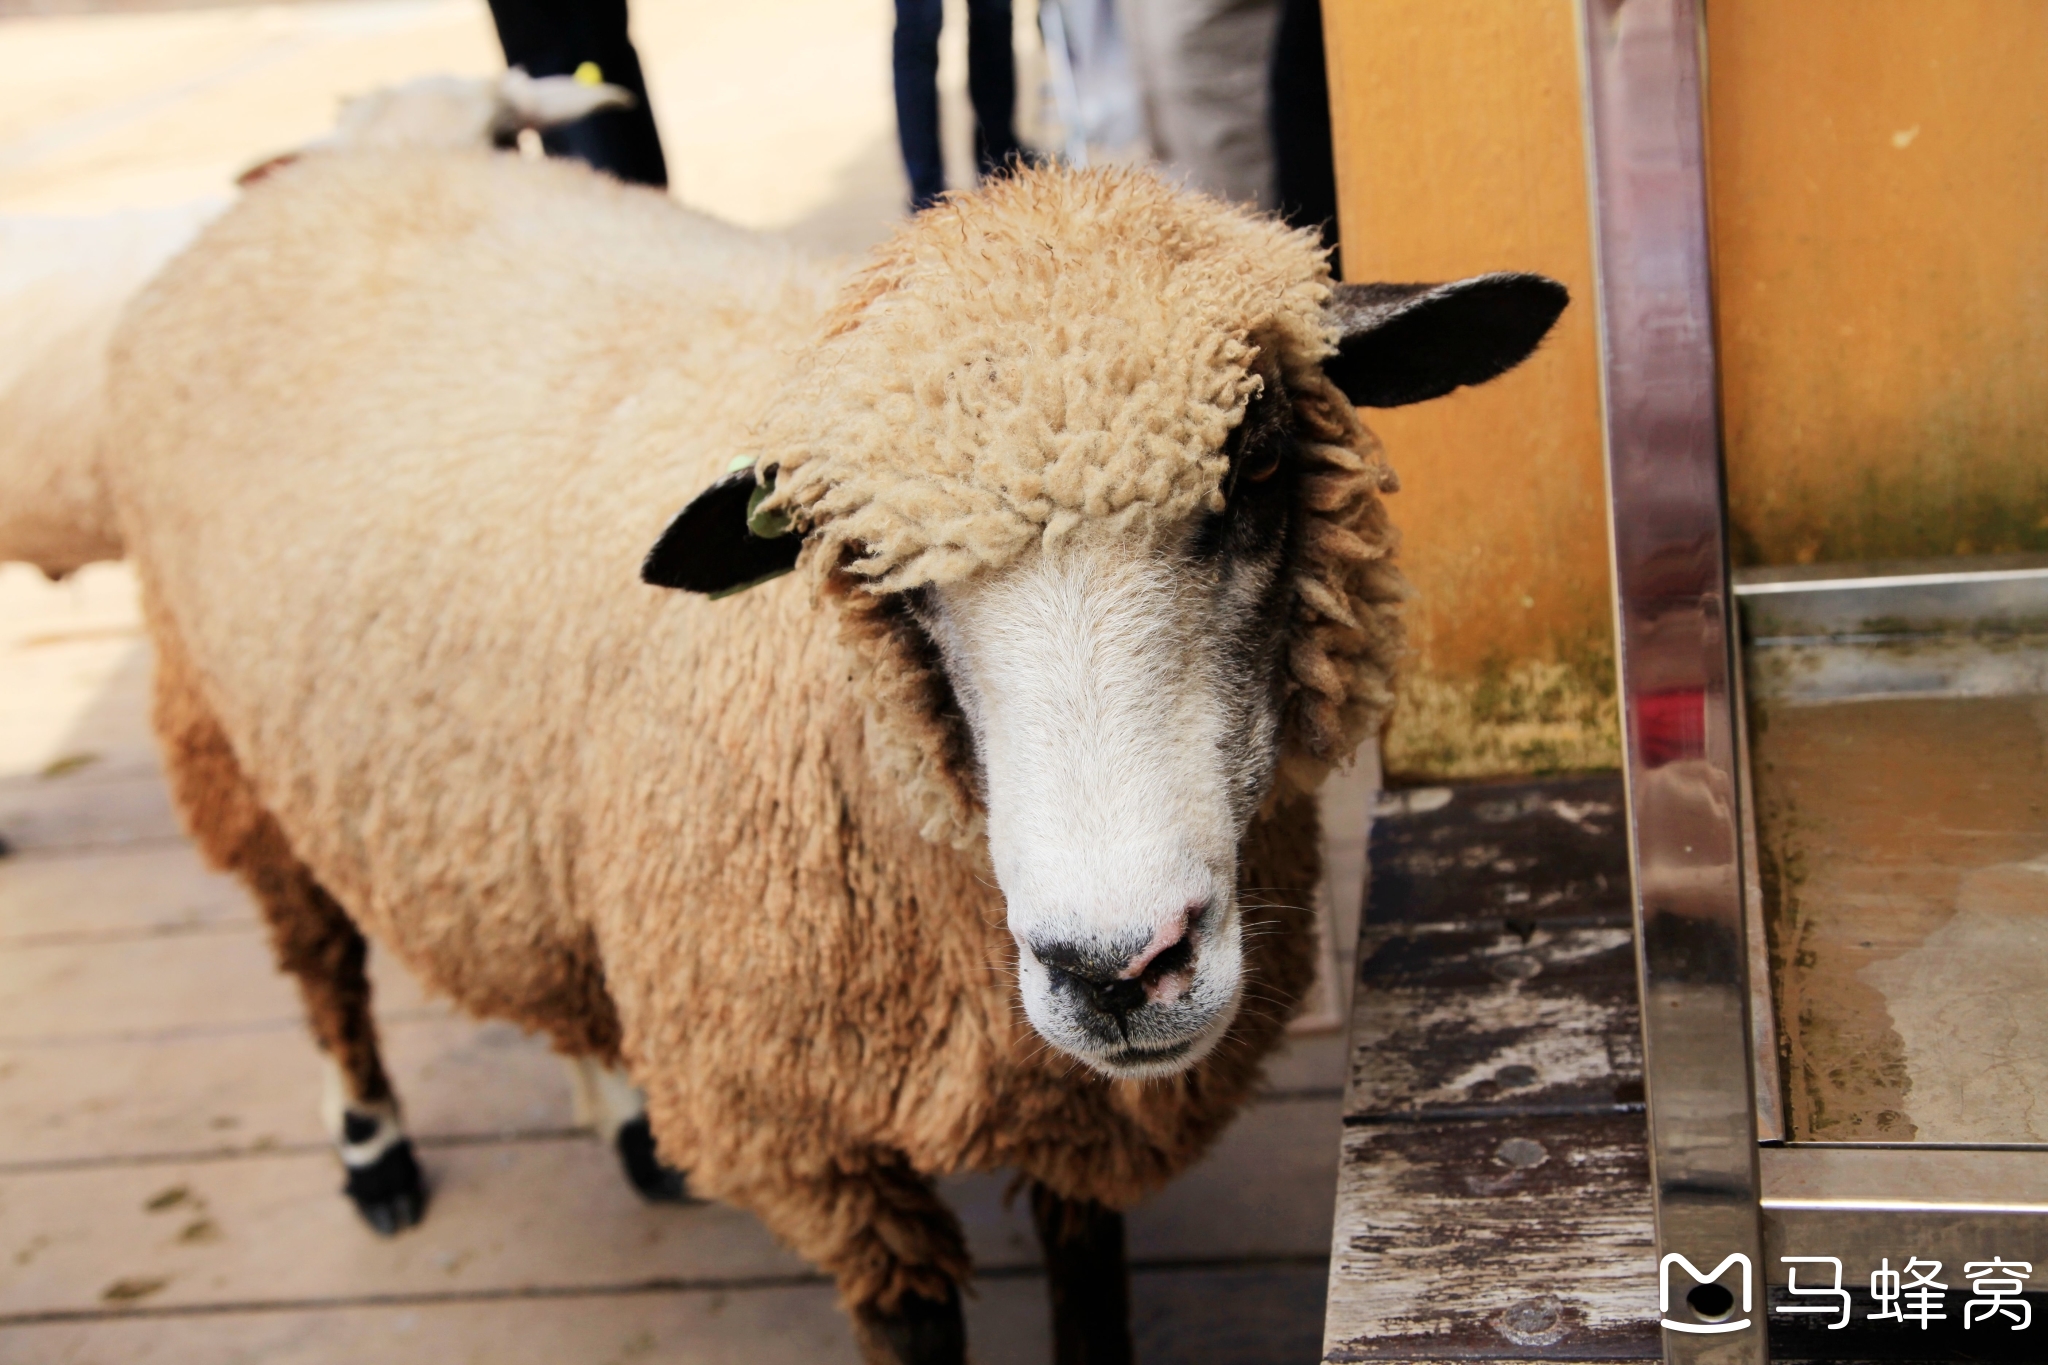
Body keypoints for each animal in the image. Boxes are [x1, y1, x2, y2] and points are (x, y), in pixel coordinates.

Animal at [92, 144, 1564, 1358]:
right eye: (864, 557)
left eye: (1256, 458)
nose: (1116, 969)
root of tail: (302, 170)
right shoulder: (814, 1146)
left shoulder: (1066, 1110)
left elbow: (1091, 1296)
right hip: (221, 729)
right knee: (322, 963)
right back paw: (374, 1152)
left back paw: (622, 1120)